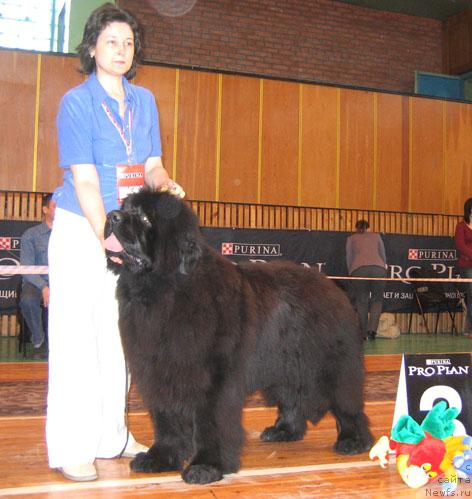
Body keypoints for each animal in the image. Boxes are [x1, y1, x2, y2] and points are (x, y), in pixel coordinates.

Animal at [105, 190, 374, 484]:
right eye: (125, 208)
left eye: (144, 218)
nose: (112, 216)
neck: (165, 290)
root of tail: (333, 286)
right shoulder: (158, 371)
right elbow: (166, 422)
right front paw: (159, 458)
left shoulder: (212, 379)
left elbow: (210, 423)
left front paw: (205, 467)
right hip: (288, 365)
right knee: (292, 396)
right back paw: (284, 431)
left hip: (328, 365)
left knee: (346, 401)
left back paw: (354, 441)